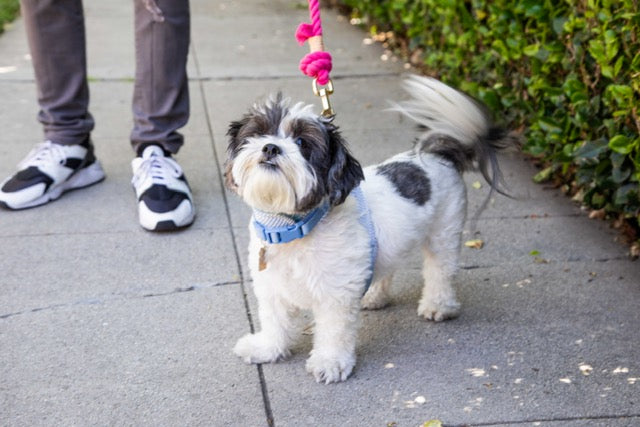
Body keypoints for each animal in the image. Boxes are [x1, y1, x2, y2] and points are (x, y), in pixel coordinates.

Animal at [222, 76, 516, 384]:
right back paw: (375, 295)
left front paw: (330, 362)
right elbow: (274, 321)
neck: (293, 227)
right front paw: (267, 348)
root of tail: (437, 154)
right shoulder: (272, 287)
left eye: (301, 142)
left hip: (444, 232)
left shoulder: (336, 294)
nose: (270, 147)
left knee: (440, 271)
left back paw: (438, 305)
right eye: (258, 133)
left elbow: (334, 332)